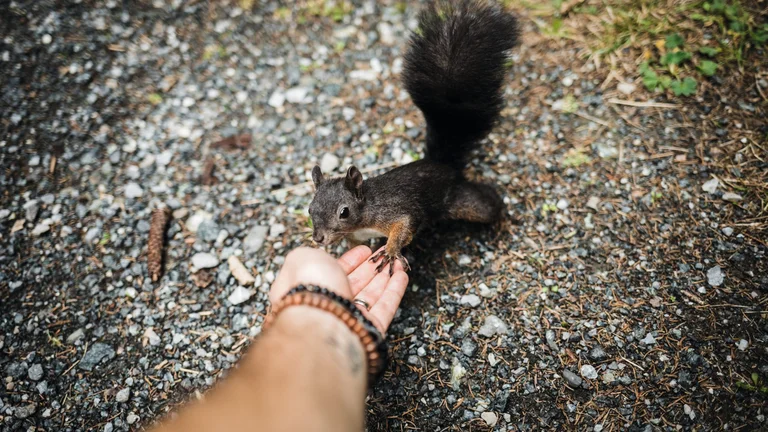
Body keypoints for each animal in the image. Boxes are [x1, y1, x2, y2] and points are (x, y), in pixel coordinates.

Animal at [308, 0, 519, 275]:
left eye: (344, 212)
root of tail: (441, 163)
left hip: (462, 202)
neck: (363, 218)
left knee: (488, 203)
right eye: (310, 209)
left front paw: (390, 251)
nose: (318, 238)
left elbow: (405, 225)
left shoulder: (395, 211)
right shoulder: (355, 236)